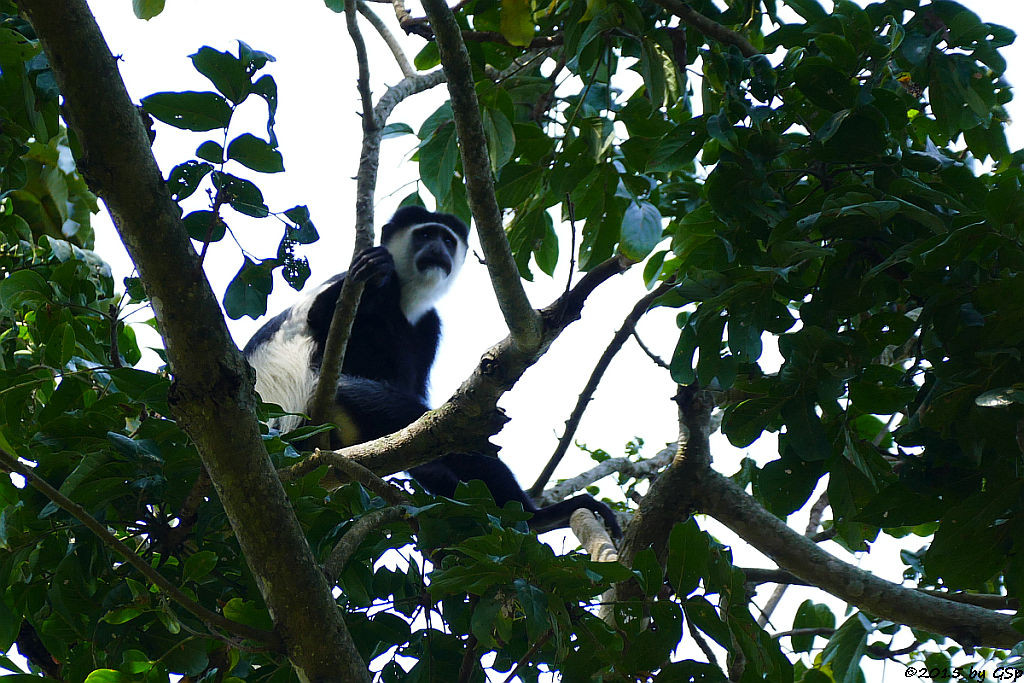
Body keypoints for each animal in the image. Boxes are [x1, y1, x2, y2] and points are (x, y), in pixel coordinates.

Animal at [243, 205, 618, 536]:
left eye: (447, 240)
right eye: (425, 235)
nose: (438, 249)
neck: (407, 299)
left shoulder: (428, 326)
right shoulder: (368, 288)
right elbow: (323, 316)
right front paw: (375, 266)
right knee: (421, 422)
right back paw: (537, 516)